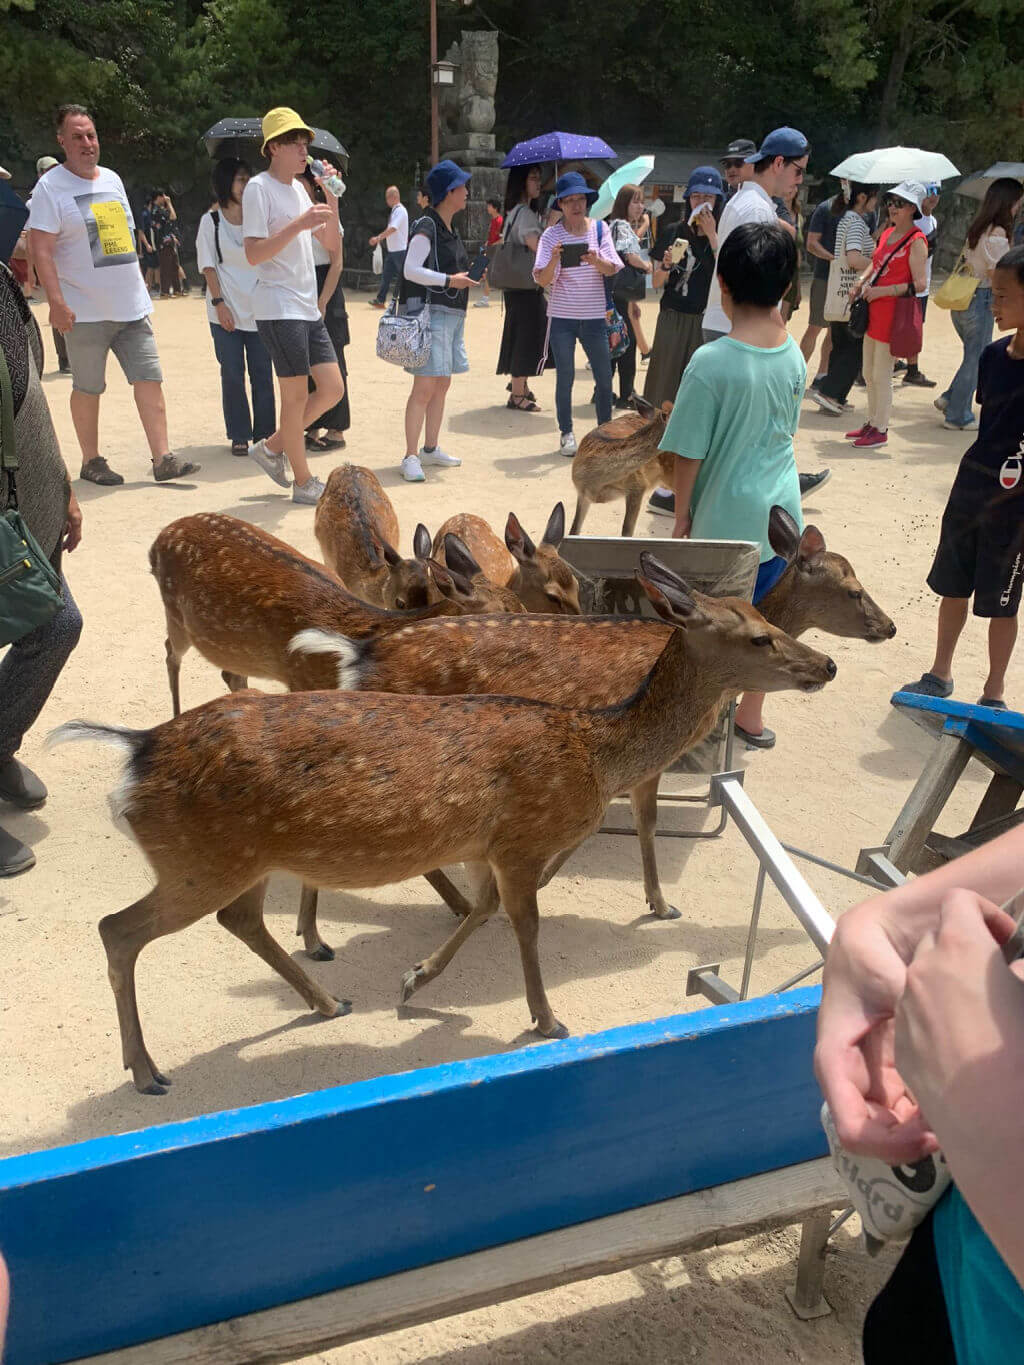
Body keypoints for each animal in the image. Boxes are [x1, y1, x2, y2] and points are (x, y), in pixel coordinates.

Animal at [52, 558, 836, 1094]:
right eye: (761, 636)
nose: (825, 663)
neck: (595, 749)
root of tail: (132, 754)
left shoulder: (487, 845)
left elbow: (482, 909)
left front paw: (414, 981)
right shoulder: (522, 838)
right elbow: (525, 924)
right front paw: (547, 1019)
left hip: (240, 859)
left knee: (238, 920)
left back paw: (327, 999)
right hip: (198, 860)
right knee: (117, 929)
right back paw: (148, 1070)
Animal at [149, 513, 520, 717]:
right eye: (504, 616)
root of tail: (156, 541)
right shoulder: (301, 681)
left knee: (230, 673)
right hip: (174, 613)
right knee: (170, 653)